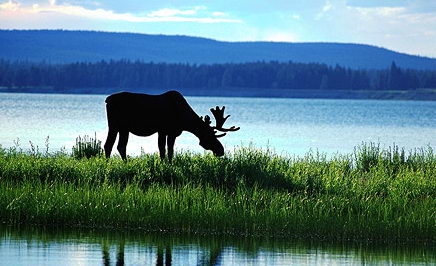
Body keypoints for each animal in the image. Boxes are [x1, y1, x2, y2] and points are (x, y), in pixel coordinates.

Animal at [103, 90, 238, 161]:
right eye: (211, 136)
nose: (221, 150)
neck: (184, 121)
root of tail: (107, 100)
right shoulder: (164, 130)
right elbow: (164, 150)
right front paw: (164, 164)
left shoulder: (171, 132)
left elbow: (169, 150)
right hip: (115, 125)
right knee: (110, 145)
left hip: (122, 128)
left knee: (118, 146)